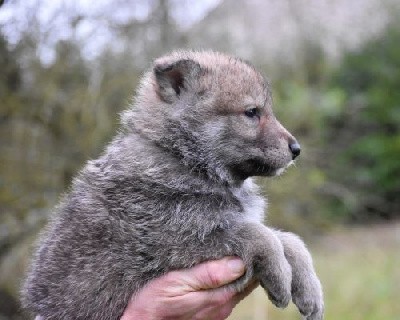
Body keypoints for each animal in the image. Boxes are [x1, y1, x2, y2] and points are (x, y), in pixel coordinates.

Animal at [21, 50, 324, 320]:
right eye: (251, 112)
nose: (296, 149)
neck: (184, 159)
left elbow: (288, 239)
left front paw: (310, 290)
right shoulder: (181, 242)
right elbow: (260, 234)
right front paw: (281, 276)